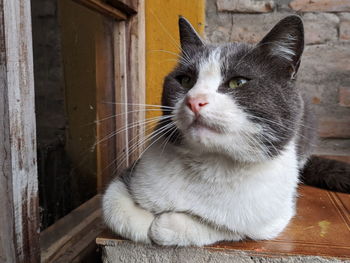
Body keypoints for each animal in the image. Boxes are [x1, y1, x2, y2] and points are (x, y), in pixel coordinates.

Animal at [102, 14, 350, 248]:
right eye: (185, 80)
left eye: (237, 82)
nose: (194, 100)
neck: (211, 164)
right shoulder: (132, 175)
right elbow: (113, 206)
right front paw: (145, 221)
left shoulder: (272, 217)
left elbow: (229, 226)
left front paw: (167, 224)